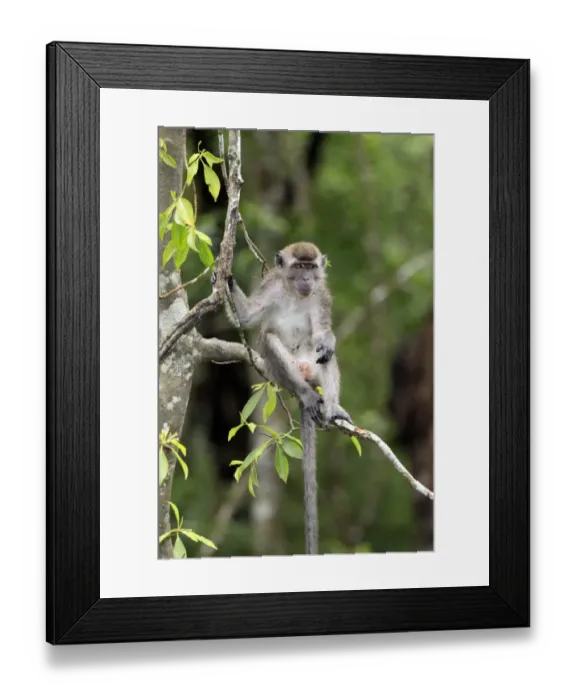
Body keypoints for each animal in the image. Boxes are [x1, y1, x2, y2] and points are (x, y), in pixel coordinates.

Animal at [212, 241, 352, 555]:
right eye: (298, 267)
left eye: (311, 268)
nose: (307, 279)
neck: (294, 294)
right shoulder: (271, 286)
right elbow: (248, 317)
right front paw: (223, 277)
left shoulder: (321, 295)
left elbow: (324, 334)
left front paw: (328, 340)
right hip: (280, 369)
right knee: (270, 340)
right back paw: (306, 395)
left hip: (310, 363)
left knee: (324, 355)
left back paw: (331, 407)